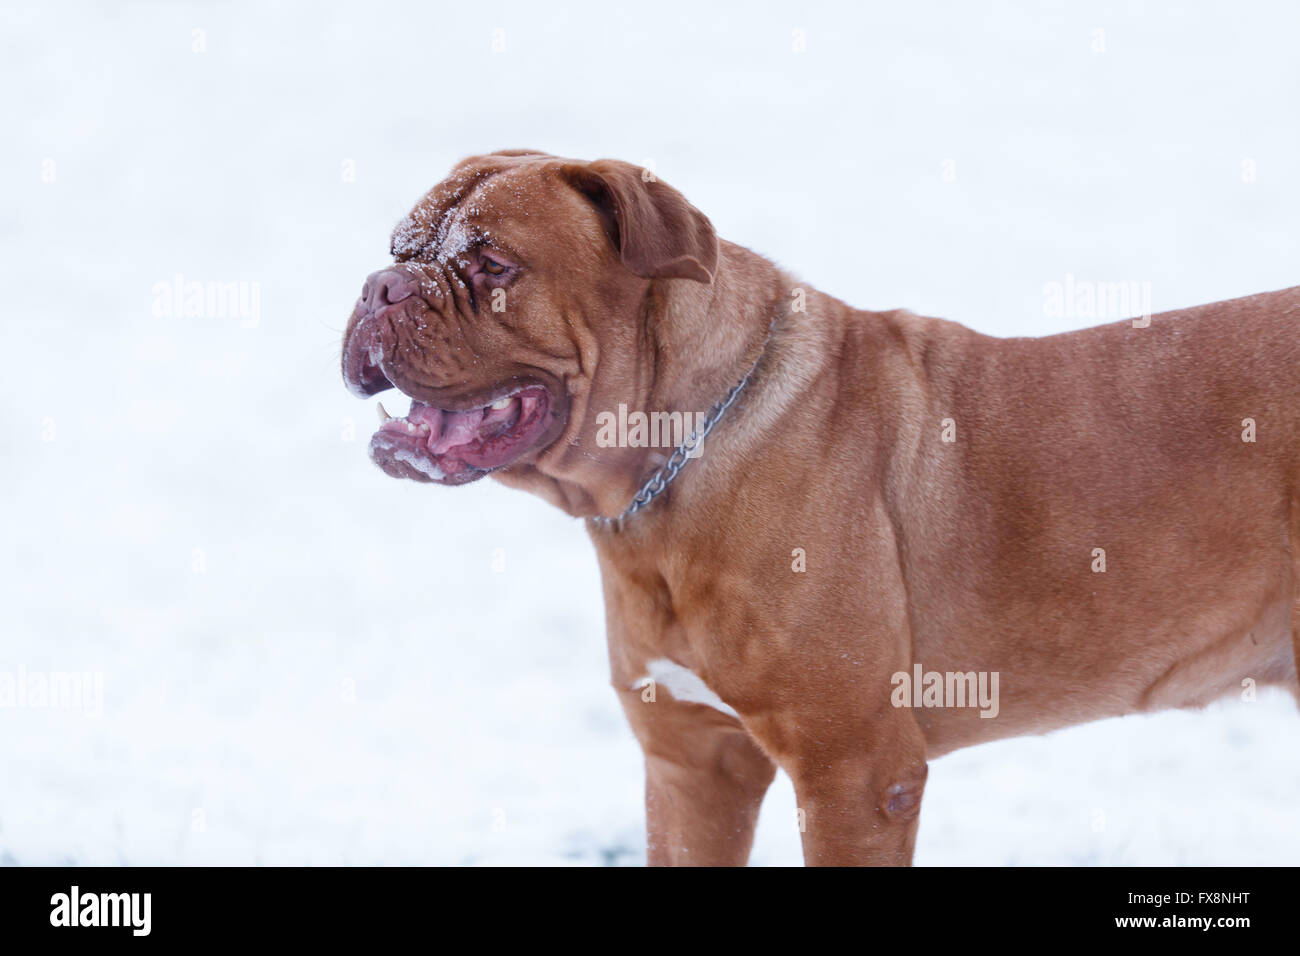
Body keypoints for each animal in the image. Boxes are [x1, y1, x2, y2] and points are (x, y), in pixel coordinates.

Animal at [343, 149, 1300, 868]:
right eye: (399, 245)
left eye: (491, 263)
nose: (380, 287)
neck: (673, 465)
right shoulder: (692, 764)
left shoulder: (854, 775)